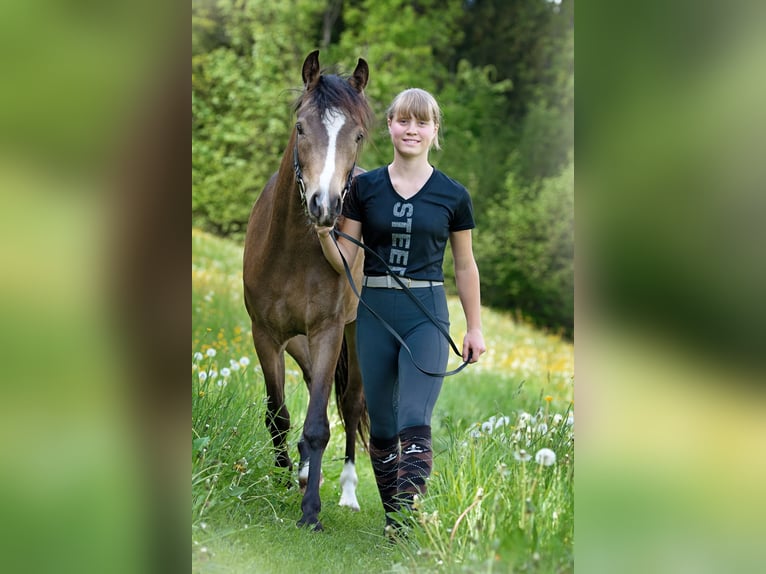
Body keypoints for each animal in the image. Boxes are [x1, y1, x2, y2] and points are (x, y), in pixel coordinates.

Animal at [242, 51, 370, 532]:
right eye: (300, 127)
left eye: (358, 135)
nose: (324, 206)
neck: (292, 250)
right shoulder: (265, 334)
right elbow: (277, 414)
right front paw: (285, 473)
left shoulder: (329, 331)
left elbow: (319, 425)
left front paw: (311, 511)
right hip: (298, 341)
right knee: (315, 382)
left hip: (355, 333)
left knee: (351, 403)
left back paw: (348, 492)